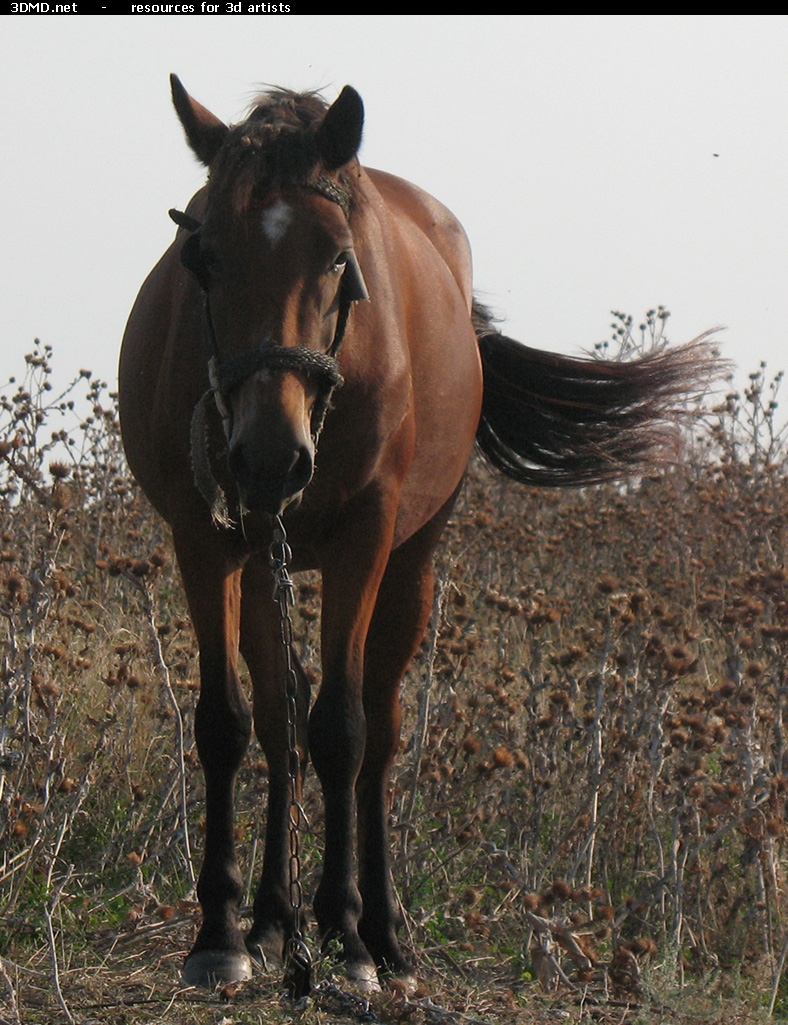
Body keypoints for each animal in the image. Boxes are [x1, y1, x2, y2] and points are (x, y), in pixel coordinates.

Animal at [118, 75, 721, 988]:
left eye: (338, 257)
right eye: (203, 256)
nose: (270, 455)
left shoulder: (365, 538)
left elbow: (345, 728)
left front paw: (346, 929)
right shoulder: (206, 534)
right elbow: (228, 722)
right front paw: (220, 932)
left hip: (411, 562)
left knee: (380, 725)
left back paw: (383, 930)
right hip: (264, 560)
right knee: (279, 721)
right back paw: (271, 920)